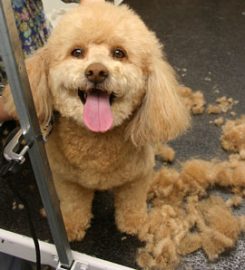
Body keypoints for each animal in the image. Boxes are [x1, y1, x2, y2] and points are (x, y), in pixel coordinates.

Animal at [3, 0, 189, 240]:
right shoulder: (66, 180)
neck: (97, 142)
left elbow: (132, 202)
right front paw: (71, 226)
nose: (96, 71)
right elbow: (73, 205)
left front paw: (134, 223)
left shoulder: (138, 178)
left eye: (119, 53)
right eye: (77, 52)